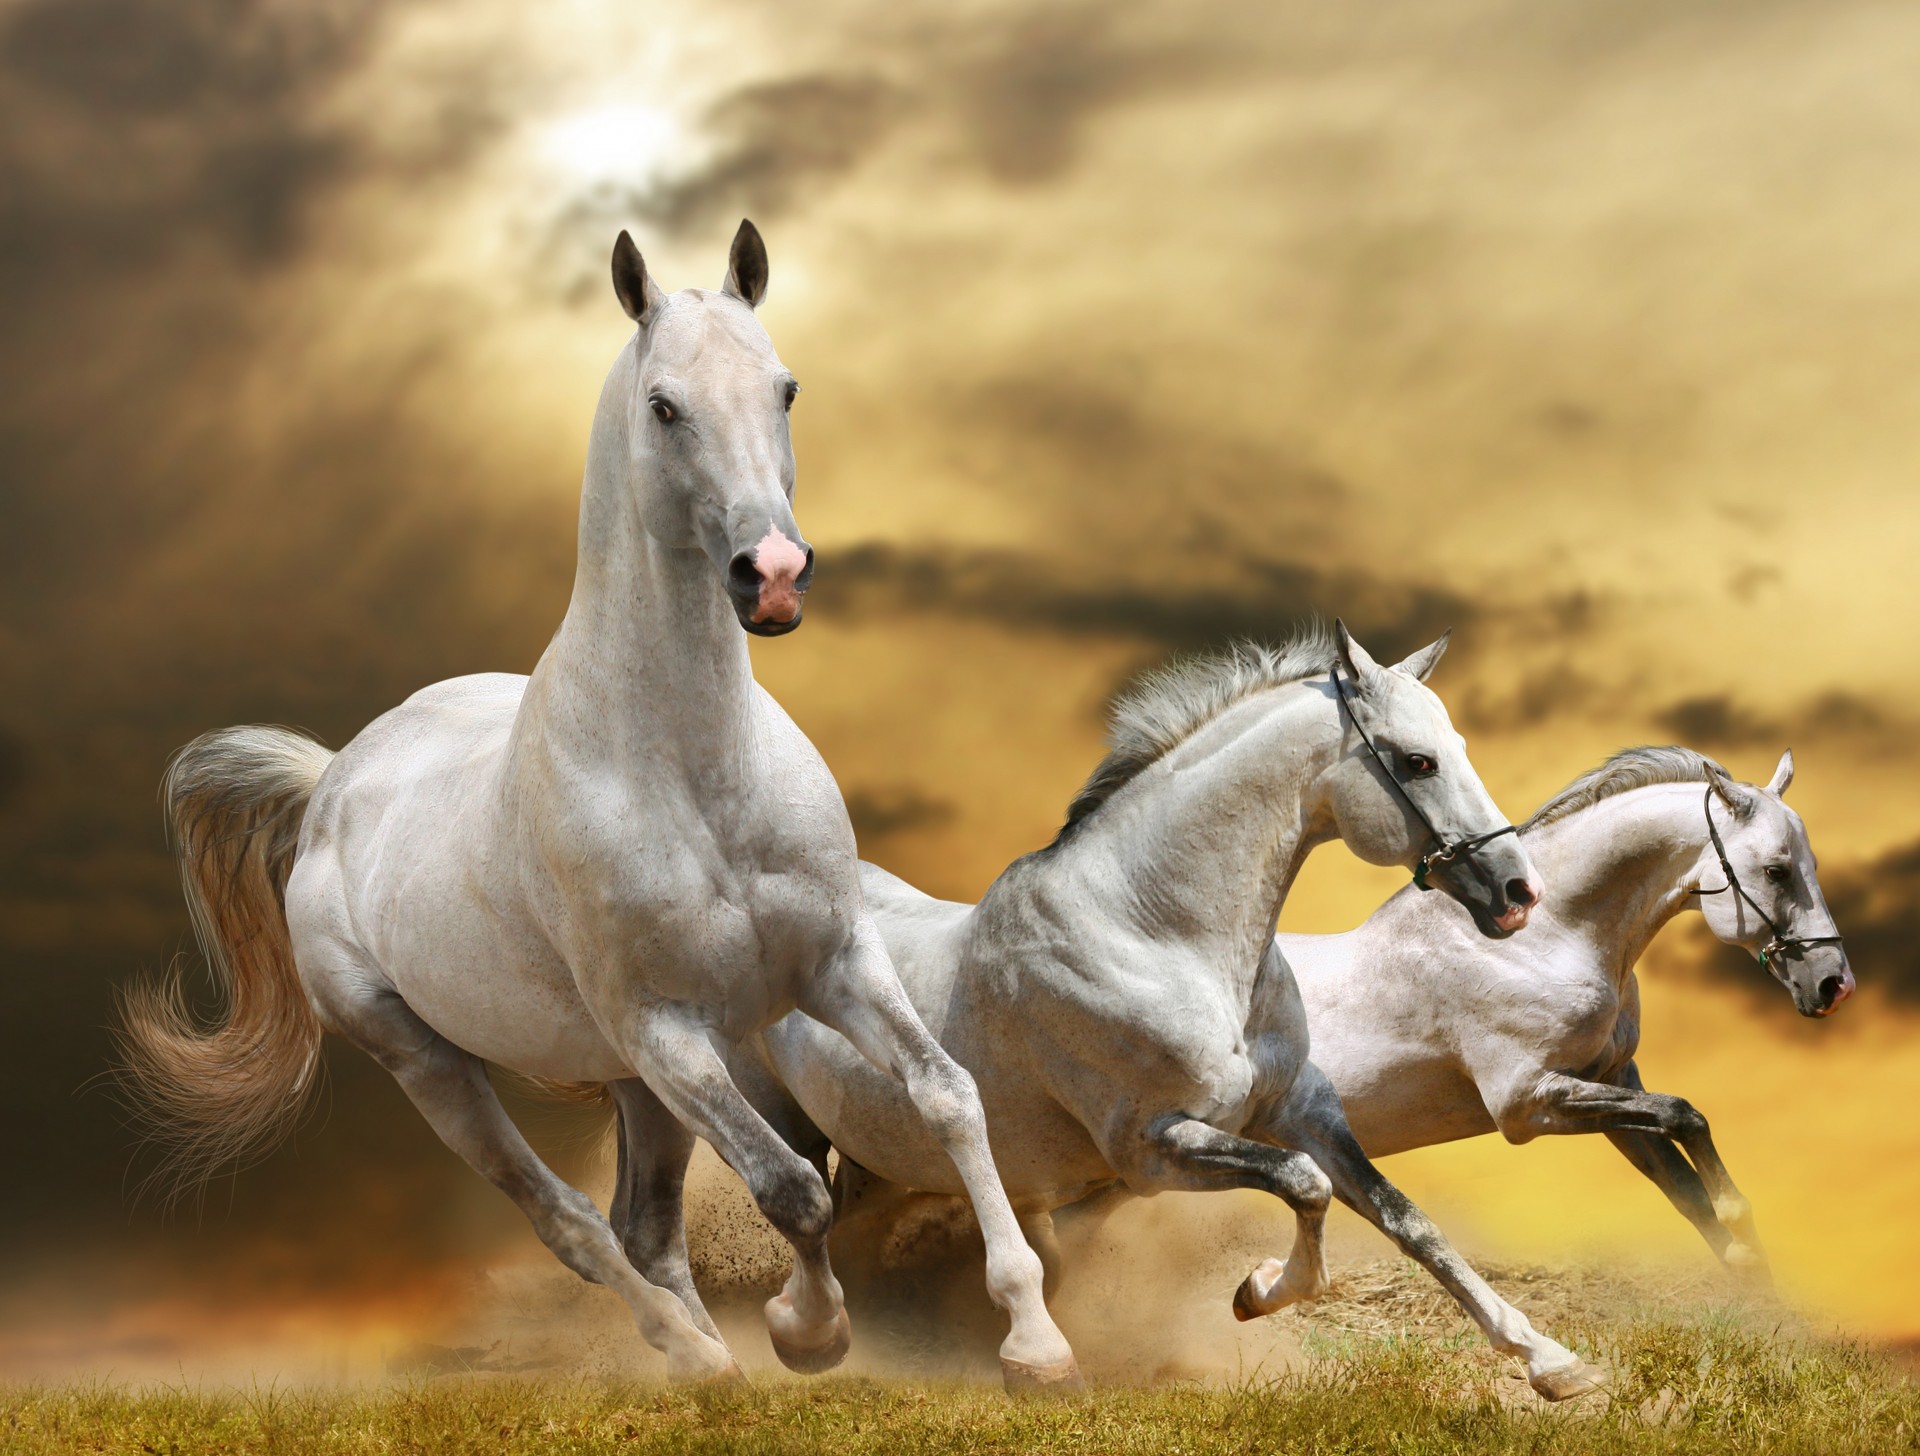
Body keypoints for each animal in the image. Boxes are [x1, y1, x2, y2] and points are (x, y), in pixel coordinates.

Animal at [119, 221, 1077, 1389]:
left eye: (786, 388)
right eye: (664, 406)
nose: (773, 575)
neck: (697, 779)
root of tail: (335, 779)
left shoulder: (833, 965)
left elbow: (946, 1094)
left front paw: (1034, 1339)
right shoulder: (669, 1029)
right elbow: (794, 1186)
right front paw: (808, 1333)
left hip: (631, 1084)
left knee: (644, 1228)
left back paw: (709, 1359)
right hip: (437, 1064)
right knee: (571, 1223)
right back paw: (696, 1354)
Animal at [720, 623, 1606, 1398]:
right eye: (1417, 762)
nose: (1518, 892)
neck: (1156, 933)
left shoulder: (1301, 1108)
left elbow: (1407, 1220)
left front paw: (1553, 1363)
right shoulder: (1152, 1147)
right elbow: (1306, 1185)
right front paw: (1259, 1289)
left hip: (880, 1162)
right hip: (781, 1120)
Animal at [1279, 745, 1852, 1274]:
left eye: (1812, 866)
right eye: (1776, 871)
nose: (1834, 985)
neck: (1544, 940)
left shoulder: (1611, 1082)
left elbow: (1689, 1194)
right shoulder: (1528, 1101)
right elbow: (1685, 1117)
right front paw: (1741, 1228)